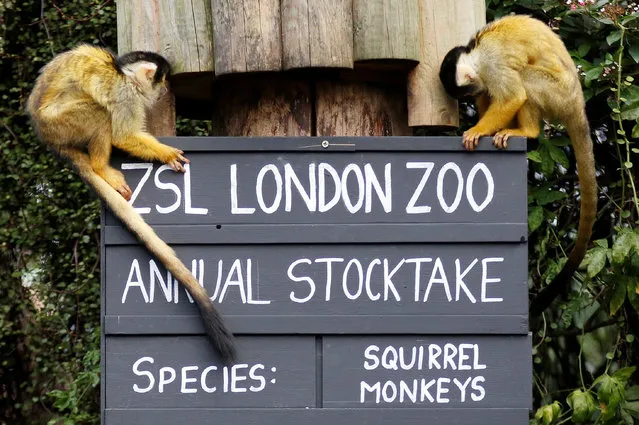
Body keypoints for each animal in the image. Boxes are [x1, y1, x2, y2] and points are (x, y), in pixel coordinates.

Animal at [26, 44, 239, 362]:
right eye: (160, 80)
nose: (162, 90)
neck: (123, 73)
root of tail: (46, 137)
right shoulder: (127, 96)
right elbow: (123, 134)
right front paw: (165, 154)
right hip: (62, 124)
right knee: (100, 114)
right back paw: (101, 167)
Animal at [440, 15, 600, 314]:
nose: (468, 97)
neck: (475, 50)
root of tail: (577, 102)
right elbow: (494, 95)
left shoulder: (491, 64)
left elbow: (512, 97)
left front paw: (476, 131)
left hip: (557, 93)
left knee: (525, 78)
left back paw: (527, 131)